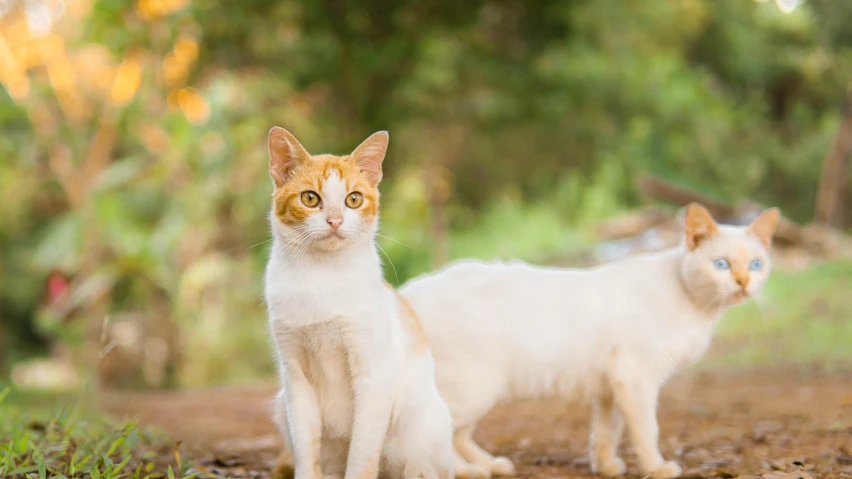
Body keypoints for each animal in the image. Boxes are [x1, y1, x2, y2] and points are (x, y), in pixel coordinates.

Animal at [264, 126, 452, 479]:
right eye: (310, 198)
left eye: (354, 199)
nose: (335, 220)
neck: (322, 276)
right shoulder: (296, 378)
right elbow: (306, 452)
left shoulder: (373, 375)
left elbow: (363, 453)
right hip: (282, 404)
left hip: (420, 428)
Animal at [400, 204, 780, 479]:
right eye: (721, 264)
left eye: (756, 265)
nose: (744, 282)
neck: (697, 307)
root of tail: (409, 290)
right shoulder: (636, 380)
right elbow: (647, 431)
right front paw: (656, 468)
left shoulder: (611, 389)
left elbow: (607, 433)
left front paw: (607, 468)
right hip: (475, 388)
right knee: (441, 431)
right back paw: (465, 471)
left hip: (481, 391)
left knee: (458, 434)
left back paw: (489, 465)